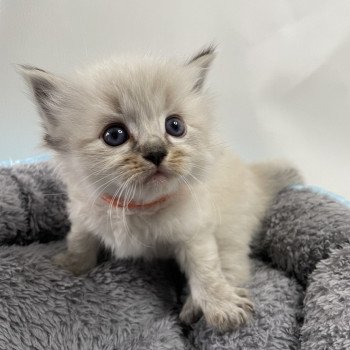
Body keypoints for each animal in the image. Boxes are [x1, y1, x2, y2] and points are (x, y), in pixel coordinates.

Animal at [20, 47, 302, 330]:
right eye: (114, 135)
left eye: (175, 126)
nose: (156, 152)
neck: (135, 206)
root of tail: (255, 176)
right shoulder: (83, 217)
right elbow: (80, 242)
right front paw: (69, 268)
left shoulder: (196, 233)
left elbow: (207, 271)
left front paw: (222, 306)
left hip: (230, 232)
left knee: (234, 268)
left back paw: (193, 308)